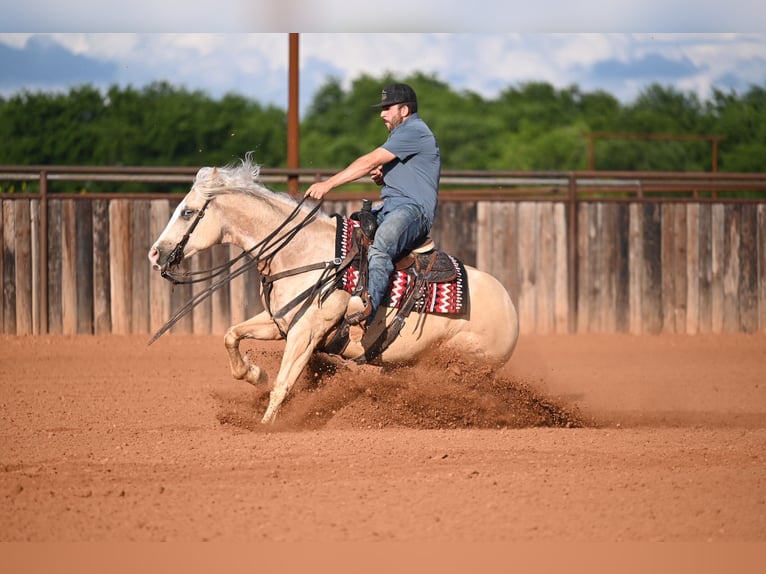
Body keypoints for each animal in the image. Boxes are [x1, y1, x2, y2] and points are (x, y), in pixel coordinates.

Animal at [148, 156, 519, 424]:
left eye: (187, 212)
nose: (154, 253)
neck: (302, 253)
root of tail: (510, 307)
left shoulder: (306, 334)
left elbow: (283, 386)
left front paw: (265, 427)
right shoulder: (281, 323)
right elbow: (231, 335)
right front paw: (254, 374)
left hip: (463, 364)